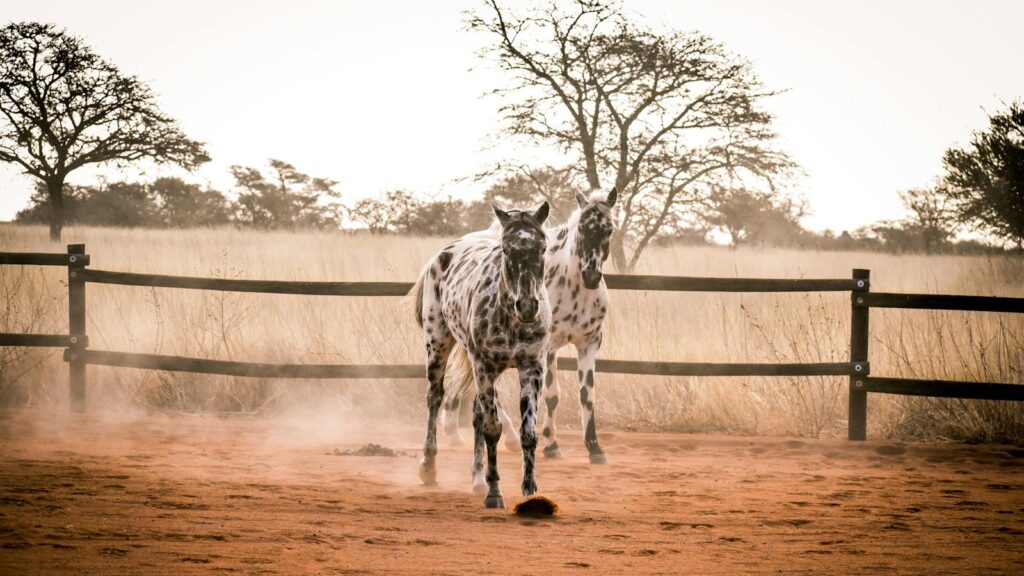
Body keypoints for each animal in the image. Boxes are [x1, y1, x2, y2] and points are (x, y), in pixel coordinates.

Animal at [413, 202, 551, 509]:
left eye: (543, 247)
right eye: (506, 249)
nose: (527, 306)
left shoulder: (532, 368)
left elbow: (528, 432)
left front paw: (530, 490)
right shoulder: (484, 366)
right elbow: (492, 429)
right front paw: (495, 492)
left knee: (476, 412)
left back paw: (477, 479)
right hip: (438, 345)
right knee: (434, 398)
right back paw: (428, 467)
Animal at [442, 188, 618, 465]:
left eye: (608, 229)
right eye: (581, 229)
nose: (590, 276)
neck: (573, 288)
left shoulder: (590, 342)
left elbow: (586, 394)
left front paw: (594, 447)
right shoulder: (549, 347)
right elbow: (553, 395)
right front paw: (552, 444)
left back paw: (453, 432)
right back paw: (510, 438)